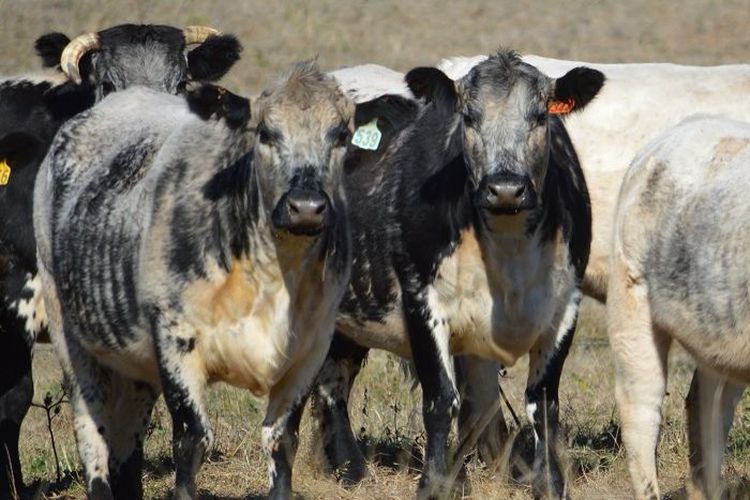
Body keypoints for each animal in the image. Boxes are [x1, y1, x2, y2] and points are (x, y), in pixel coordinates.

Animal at [32, 60, 356, 498]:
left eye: (341, 134)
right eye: (266, 133)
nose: (306, 207)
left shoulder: (310, 349)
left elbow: (281, 440)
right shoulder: (175, 339)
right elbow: (192, 439)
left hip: (134, 360)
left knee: (127, 436)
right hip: (69, 331)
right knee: (91, 430)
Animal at [312, 48, 604, 498]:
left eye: (541, 117)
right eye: (468, 117)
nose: (505, 188)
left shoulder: (564, 308)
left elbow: (542, 402)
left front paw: (549, 482)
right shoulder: (422, 301)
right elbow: (440, 400)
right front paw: (434, 483)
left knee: (334, 375)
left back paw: (349, 466)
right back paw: (345, 467)